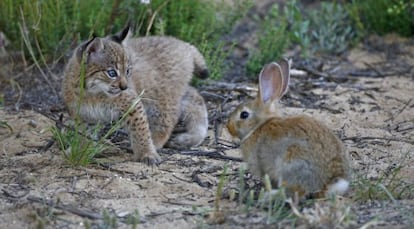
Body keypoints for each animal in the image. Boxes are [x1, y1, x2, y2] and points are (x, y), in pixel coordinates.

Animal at [225, 59, 350, 199]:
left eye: (244, 115)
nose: (228, 126)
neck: (259, 126)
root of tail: (329, 182)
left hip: (292, 163)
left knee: (294, 192)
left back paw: (268, 196)